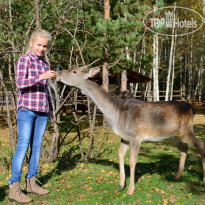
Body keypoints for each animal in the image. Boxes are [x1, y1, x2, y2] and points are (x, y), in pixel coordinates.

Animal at [55, 66, 205, 196]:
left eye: (74, 70)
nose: (58, 72)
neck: (116, 115)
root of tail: (192, 108)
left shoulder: (135, 136)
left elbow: (132, 161)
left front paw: (130, 191)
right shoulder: (124, 137)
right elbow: (120, 154)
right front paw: (121, 185)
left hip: (186, 129)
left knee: (201, 144)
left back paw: (202, 179)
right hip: (172, 136)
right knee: (184, 148)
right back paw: (177, 176)